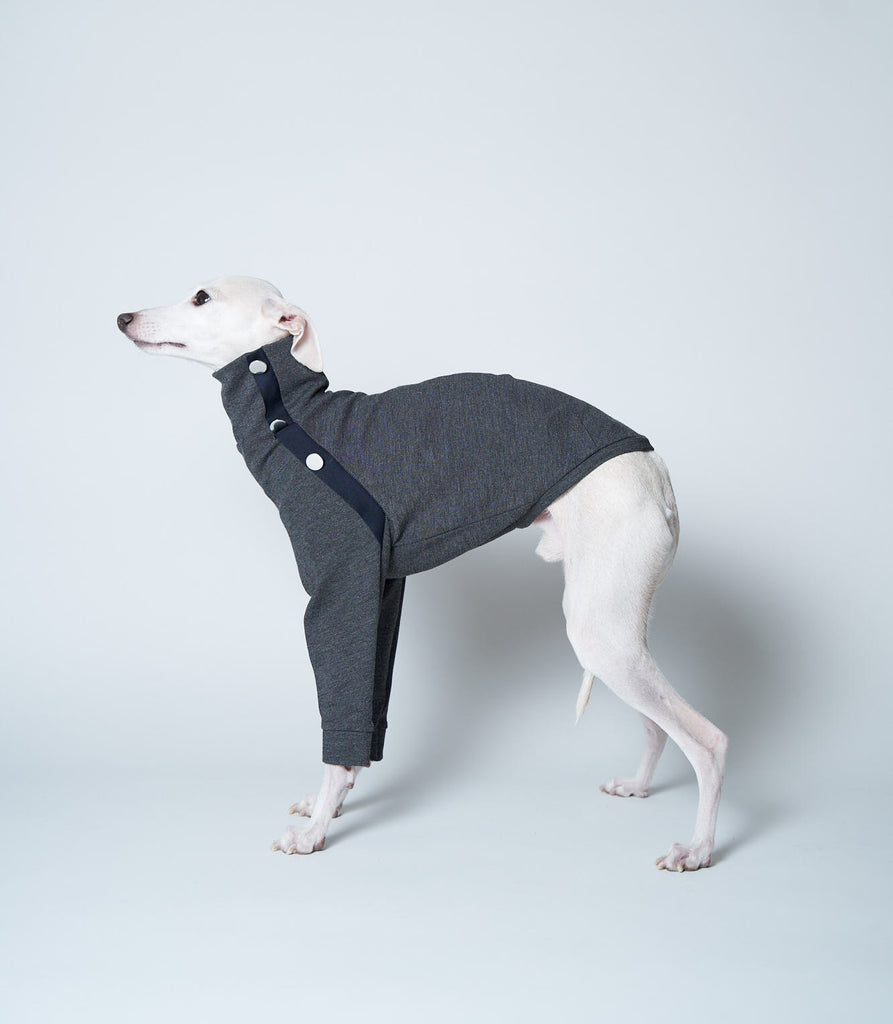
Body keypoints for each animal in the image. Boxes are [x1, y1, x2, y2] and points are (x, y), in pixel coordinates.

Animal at [117, 276, 727, 870]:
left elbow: (341, 713)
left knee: (708, 742)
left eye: (202, 296)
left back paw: (696, 849)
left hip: (599, 630)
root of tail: (654, 466)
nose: (122, 318)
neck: (295, 418)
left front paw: (315, 831)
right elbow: (368, 711)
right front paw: (331, 802)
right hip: (620, 626)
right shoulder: (382, 590)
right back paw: (638, 787)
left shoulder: (341, 593)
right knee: (657, 722)